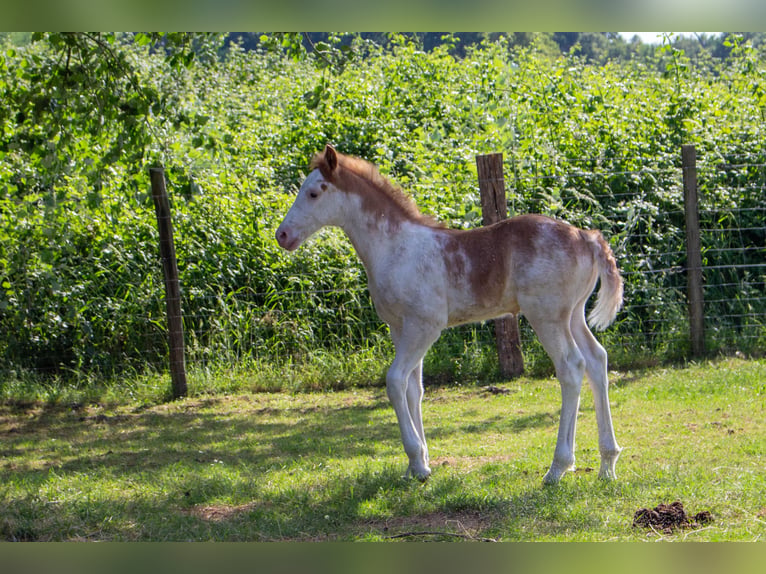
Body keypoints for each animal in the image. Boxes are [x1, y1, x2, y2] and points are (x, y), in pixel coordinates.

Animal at [276, 144, 624, 484]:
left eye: (314, 193)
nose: (282, 235)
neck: (395, 247)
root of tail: (587, 237)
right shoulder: (400, 328)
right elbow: (413, 388)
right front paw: (418, 464)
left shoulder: (425, 326)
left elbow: (394, 381)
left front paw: (417, 462)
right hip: (573, 314)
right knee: (596, 360)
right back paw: (607, 463)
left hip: (547, 316)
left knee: (571, 368)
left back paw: (558, 467)